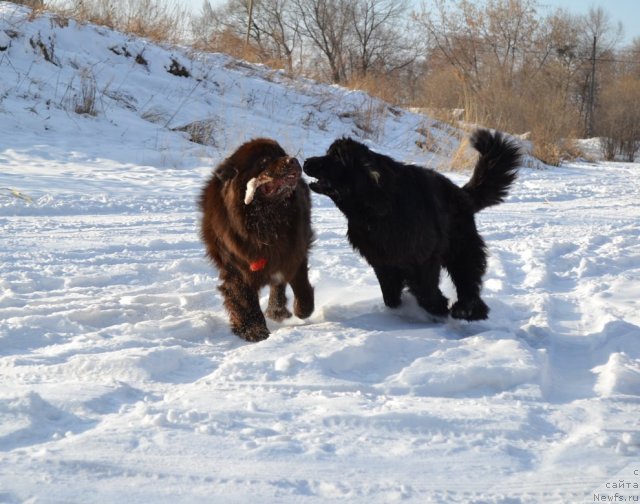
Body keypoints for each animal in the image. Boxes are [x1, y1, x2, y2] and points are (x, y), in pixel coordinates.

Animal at [198, 140, 312, 340]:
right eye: (264, 161)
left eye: (282, 153)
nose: (293, 160)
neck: (267, 220)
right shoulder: (236, 264)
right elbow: (244, 298)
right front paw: (254, 331)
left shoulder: (294, 250)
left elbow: (300, 282)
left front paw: (303, 308)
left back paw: (278, 310)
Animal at [304, 128, 520, 320]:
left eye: (336, 158)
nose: (306, 161)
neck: (377, 204)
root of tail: (461, 193)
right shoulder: (382, 260)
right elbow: (390, 294)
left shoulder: (423, 256)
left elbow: (425, 288)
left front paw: (438, 306)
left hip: (461, 245)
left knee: (467, 275)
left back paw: (466, 309)